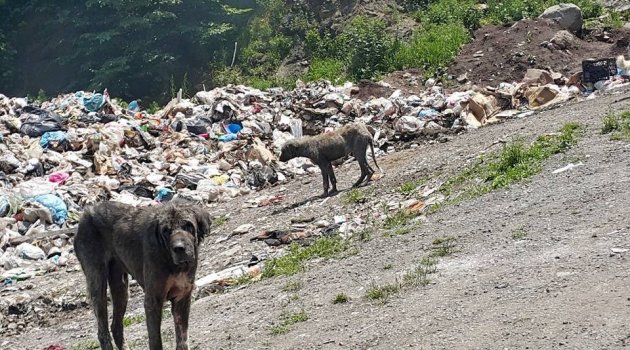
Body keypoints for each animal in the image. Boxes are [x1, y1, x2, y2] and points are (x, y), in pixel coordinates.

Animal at [74, 200, 212, 350]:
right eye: (166, 230)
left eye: (188, 225)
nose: (179, 248)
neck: (171, 260)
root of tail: (87, 211)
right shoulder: (153, 301)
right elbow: (155, 340)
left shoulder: (182, 297)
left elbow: (182, 339)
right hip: (97, 284)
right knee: (102, 331)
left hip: (121, 288)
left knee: (116, 326)